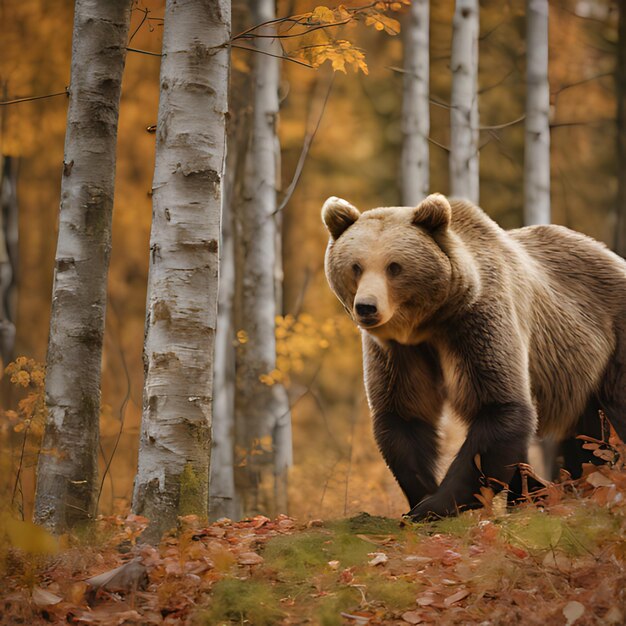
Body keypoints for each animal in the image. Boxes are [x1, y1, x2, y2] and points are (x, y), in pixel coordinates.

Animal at [322, 194, 624, 516]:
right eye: (356, 266)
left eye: (394, 266)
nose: (367, 307)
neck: (429, 323)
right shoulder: (399, 351)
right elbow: (404, 415)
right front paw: (421, 496)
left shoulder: (477, 323)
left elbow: (498, 408)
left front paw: (433, 505)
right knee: (586, 431)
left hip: (610, 339)